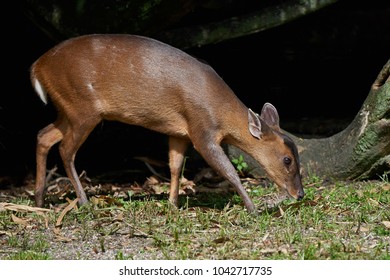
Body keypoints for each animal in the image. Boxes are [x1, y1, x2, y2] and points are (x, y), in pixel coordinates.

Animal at [31, 34, 304, 213]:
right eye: (287, 160)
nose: (299, 194)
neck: (219, 109)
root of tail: (37, 66)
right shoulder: (202, 129)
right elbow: (228, 170)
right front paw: (252, 208)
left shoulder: (180, 132)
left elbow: (175, 166)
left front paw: (172, 205)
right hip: (82, 107)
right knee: (66, 149)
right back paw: (84, 201)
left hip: (67, 109)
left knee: (43, 134)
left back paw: (39, 200)